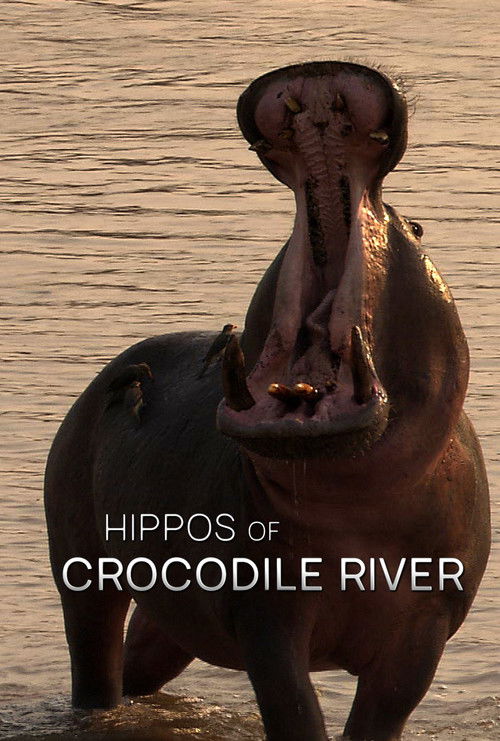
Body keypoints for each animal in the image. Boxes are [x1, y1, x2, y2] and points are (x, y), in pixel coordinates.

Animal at [44, 61, 490, 741]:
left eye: (416, 226)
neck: (354, 506)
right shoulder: (265, 612)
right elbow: (292, 707)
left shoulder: (427, 627)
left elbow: (384, 711)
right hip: (80, 564)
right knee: (93, 654)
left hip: (175, 614)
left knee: (142, 654)